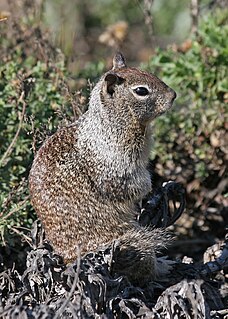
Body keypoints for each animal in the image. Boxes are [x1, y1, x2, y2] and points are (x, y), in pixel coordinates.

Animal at [29, 53, 176, 284]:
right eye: (141, 91)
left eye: (149, 73)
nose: (173, 95)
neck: (110, 125)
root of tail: (69, 259)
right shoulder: (116, 170)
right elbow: (132, 186)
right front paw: (150, 188)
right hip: (131, 242)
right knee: (143, 268)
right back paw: (162, 267)